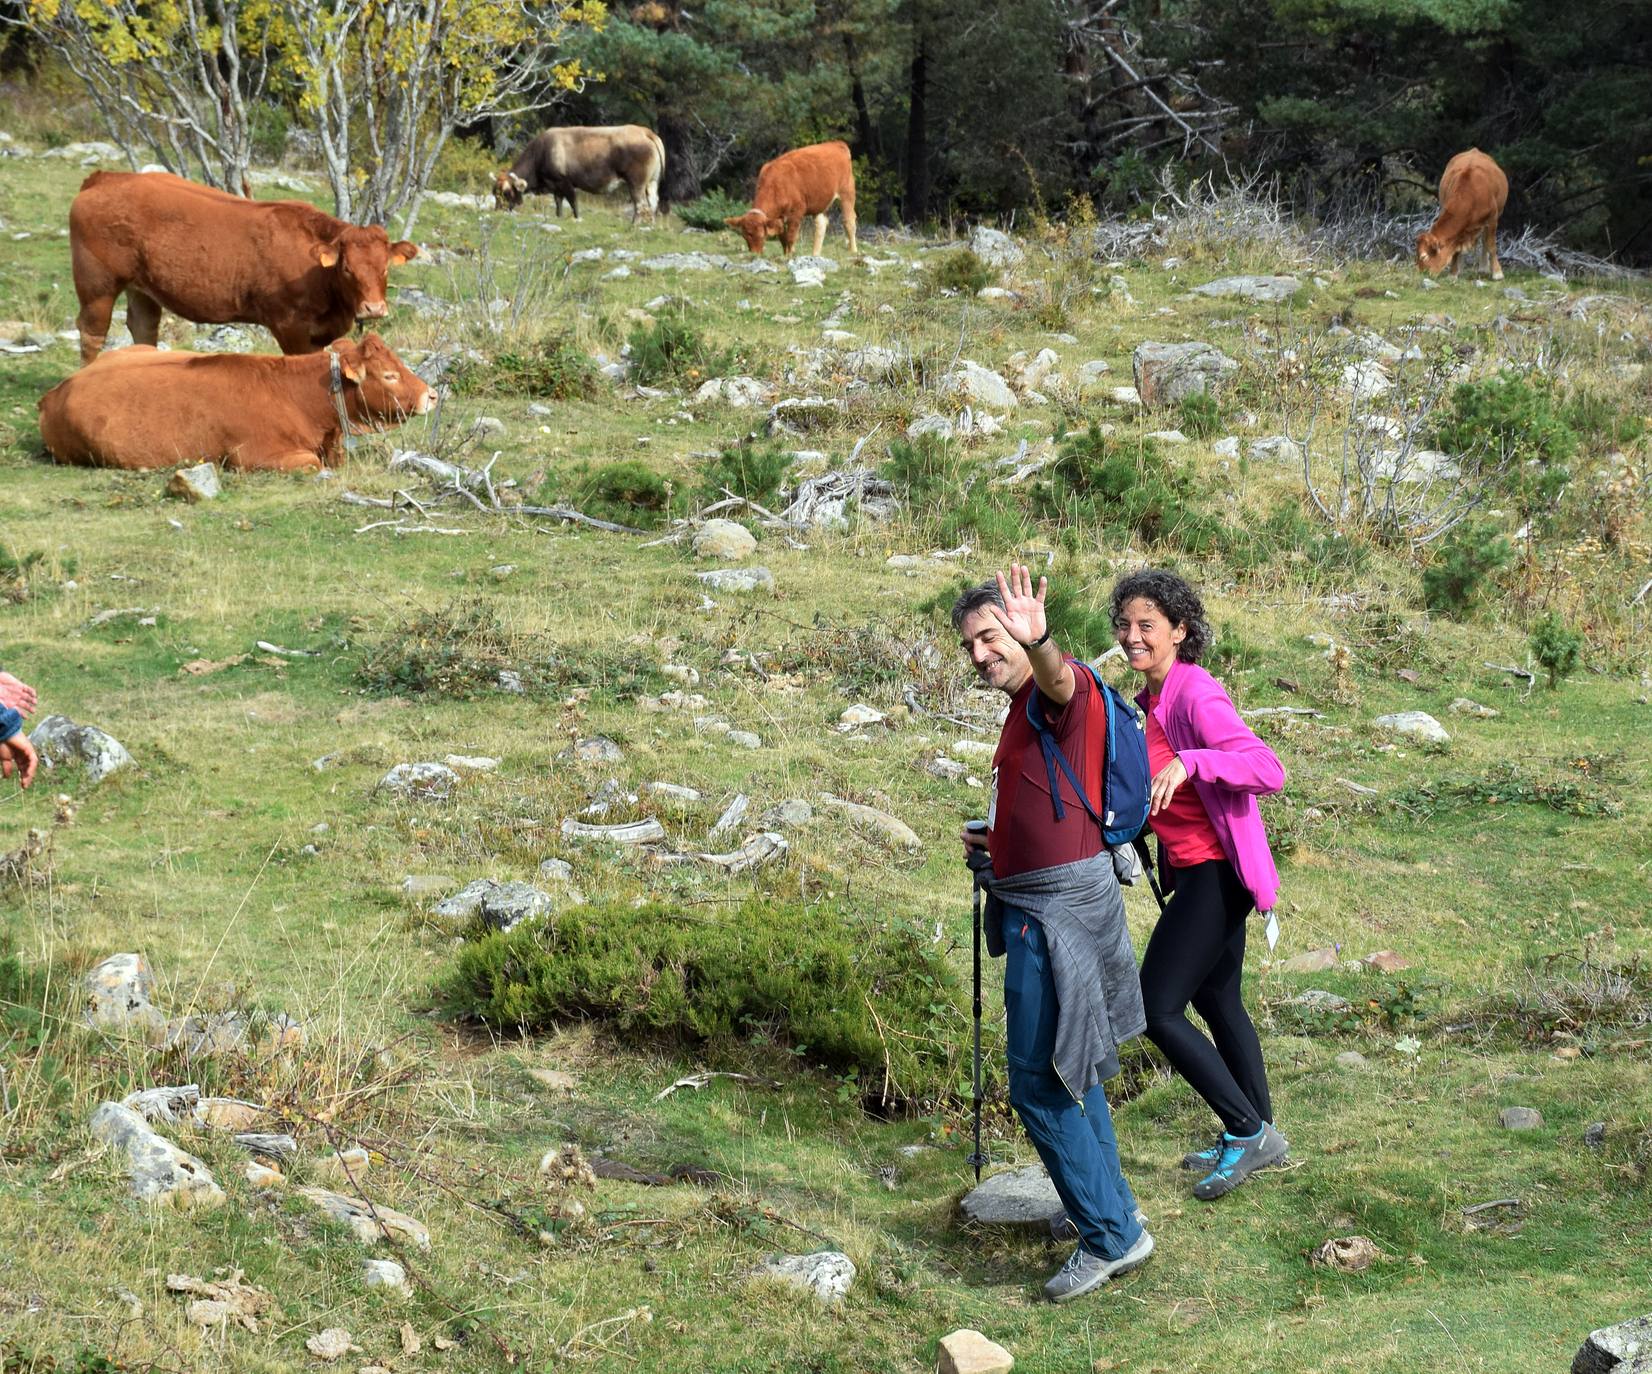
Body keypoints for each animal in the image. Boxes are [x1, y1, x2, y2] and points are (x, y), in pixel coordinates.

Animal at [71, 170, 416, 364]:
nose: (374, 308)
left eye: (385, 268)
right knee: (92, 334)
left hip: (141, 288)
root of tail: (106, 177)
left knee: (143, 328)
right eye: (347, 269)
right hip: (97, 286)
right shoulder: (289, 325)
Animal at [488, 124, 664, 221]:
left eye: (506, 192)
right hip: (652, 182)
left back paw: (634, 225)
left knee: (640, 205)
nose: (497, 210)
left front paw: (576, 218)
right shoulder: (555, 186)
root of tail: (644, 131)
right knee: (653, 203)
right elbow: (558, 204)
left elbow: (573, 203)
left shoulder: (565, 182)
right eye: (494, 193)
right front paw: (559, 217)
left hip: (636, 182)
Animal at [723, 139, 859, 257]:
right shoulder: (779, 218)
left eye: (761, 235)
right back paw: (815, 254)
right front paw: (786, 254)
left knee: (849, 221)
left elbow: (791, 236)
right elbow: (783, 237)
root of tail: (837, 144)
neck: (776, 184)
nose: (755, 254)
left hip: (847, 192)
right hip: (820, 202)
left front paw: (790, 255)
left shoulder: (796, 213)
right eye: (745, 236)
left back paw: (853, 251)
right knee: (821, 224)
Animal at [1420, 148, 1513, 280]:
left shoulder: (1492, 218)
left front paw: (1497, 273)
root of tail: (1474, 150)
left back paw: (1483, 267)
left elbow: (1491, 245)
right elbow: (1455, 248)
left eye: (1424, 256)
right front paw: (1453, 273)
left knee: (1484, 241)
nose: (1420, 273)